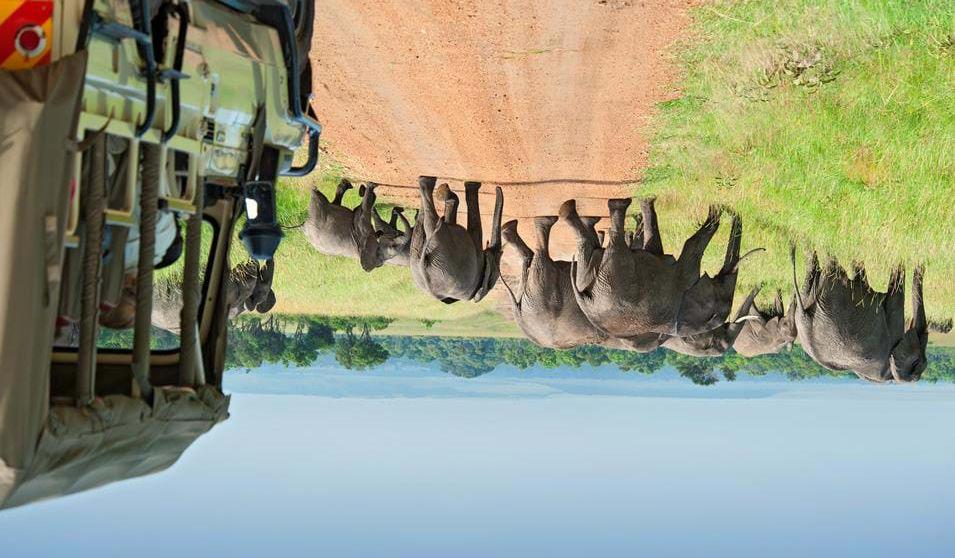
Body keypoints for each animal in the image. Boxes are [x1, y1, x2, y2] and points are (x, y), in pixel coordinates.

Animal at [560, 199, 756, 342]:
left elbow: (655, 244)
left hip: (597, 273)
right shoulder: (683, 283)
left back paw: (573, 210)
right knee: (615, 243)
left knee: (591, 246)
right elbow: (691, 246)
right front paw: (716, 210)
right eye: (723, 292)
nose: (733, 210)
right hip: (615, 277)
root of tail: (585, 299)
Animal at [792, 250, 932, 384]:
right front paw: (901, 262)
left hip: (825, 299)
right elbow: (894, 290)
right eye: (919, 359)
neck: (893, 377)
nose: (921, 264)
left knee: (823, 269)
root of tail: (804, 315)